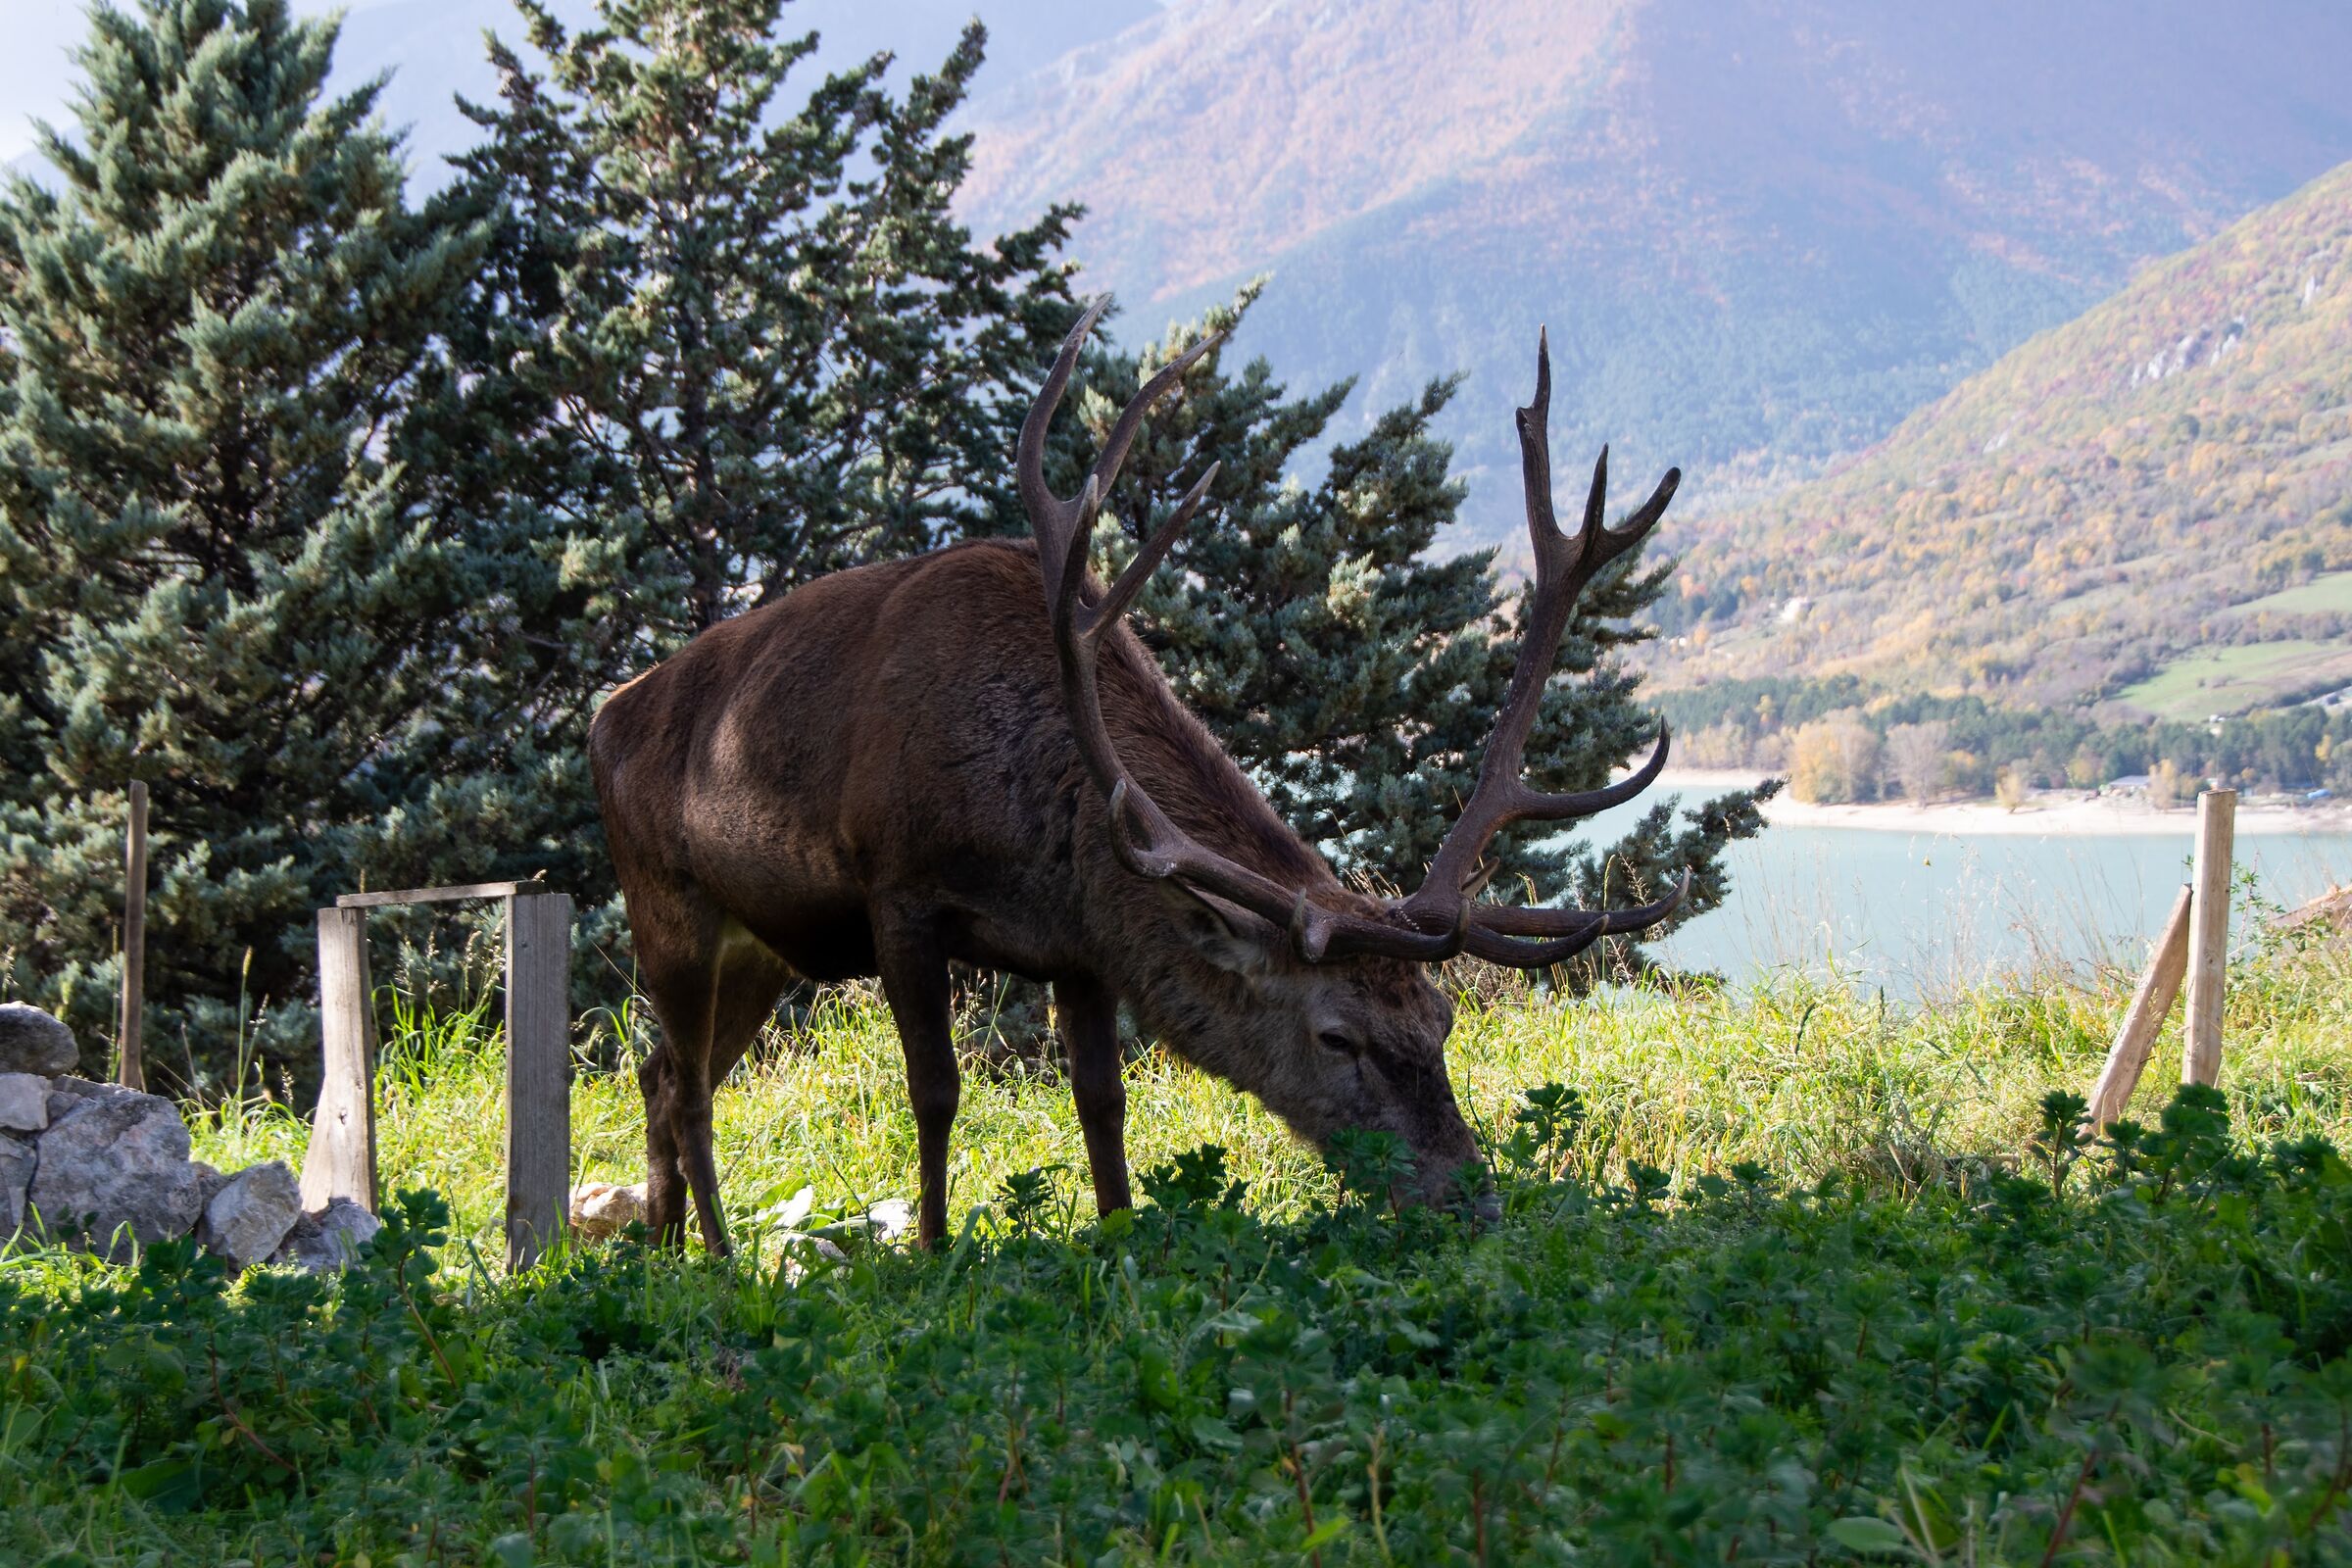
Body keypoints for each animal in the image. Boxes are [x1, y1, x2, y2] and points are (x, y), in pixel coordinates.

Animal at [589, 300, 1689, 1252]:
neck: (1035, 832)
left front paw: (1120, 1231)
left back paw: (662, 1249)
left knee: (657, 1070)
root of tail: (604, 717)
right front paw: (935, 1250)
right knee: (688, 1086)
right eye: (1336, 1037)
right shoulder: (896, 891)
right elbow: (935, 1089)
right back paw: (720, 1254)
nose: (1469, 1197)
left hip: (762, 948)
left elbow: (1102, 1102)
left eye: (1443, 1019)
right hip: (665, 902)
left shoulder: (1078, 945)